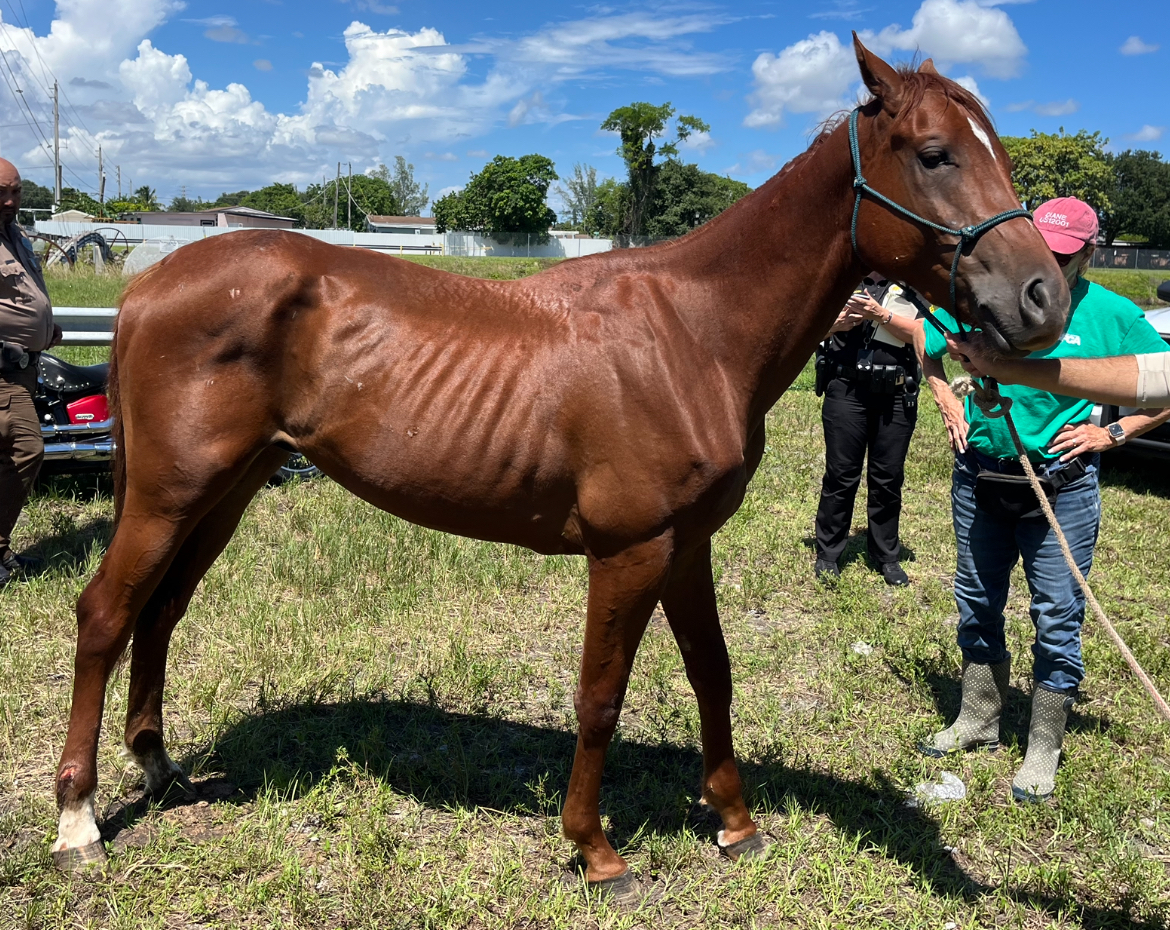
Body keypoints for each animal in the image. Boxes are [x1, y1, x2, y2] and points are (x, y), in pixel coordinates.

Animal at [52, 38, 1071, 893]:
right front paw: (596, 850)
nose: (1044, 299)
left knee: (161, 611)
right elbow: (600, 696)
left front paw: (735, 822)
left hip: (223, 491)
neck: (692, 332)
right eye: (935, 154)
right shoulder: (627, 551)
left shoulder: (686, 546)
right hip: (169, 494)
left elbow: (712, 672)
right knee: (106, 614)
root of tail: (149, 284)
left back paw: (160, 767)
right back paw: (78, 820)